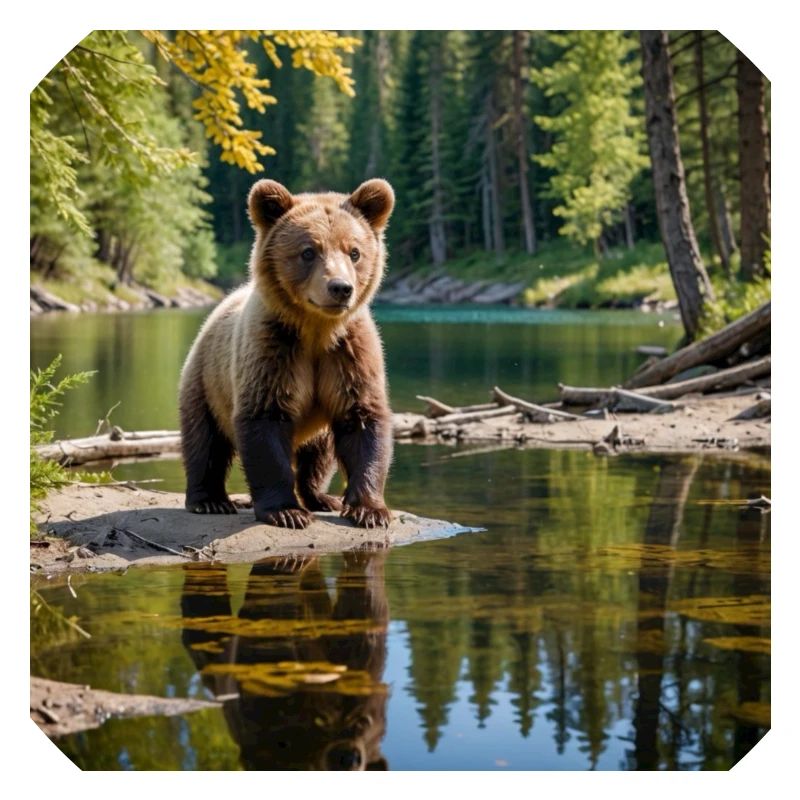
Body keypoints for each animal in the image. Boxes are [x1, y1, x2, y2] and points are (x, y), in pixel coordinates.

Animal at [178, 178, 395, 530]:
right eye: (308, 251)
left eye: (355, 251)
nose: (340, 288)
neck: (316, 330)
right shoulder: (273, 351)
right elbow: (264, 419)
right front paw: (286, 511)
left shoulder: (349, 355)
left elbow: (362, 420)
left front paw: (370, 510)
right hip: (206, 380)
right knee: (204, 440)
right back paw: (209, 499)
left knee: (319, 454)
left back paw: (321, 497)